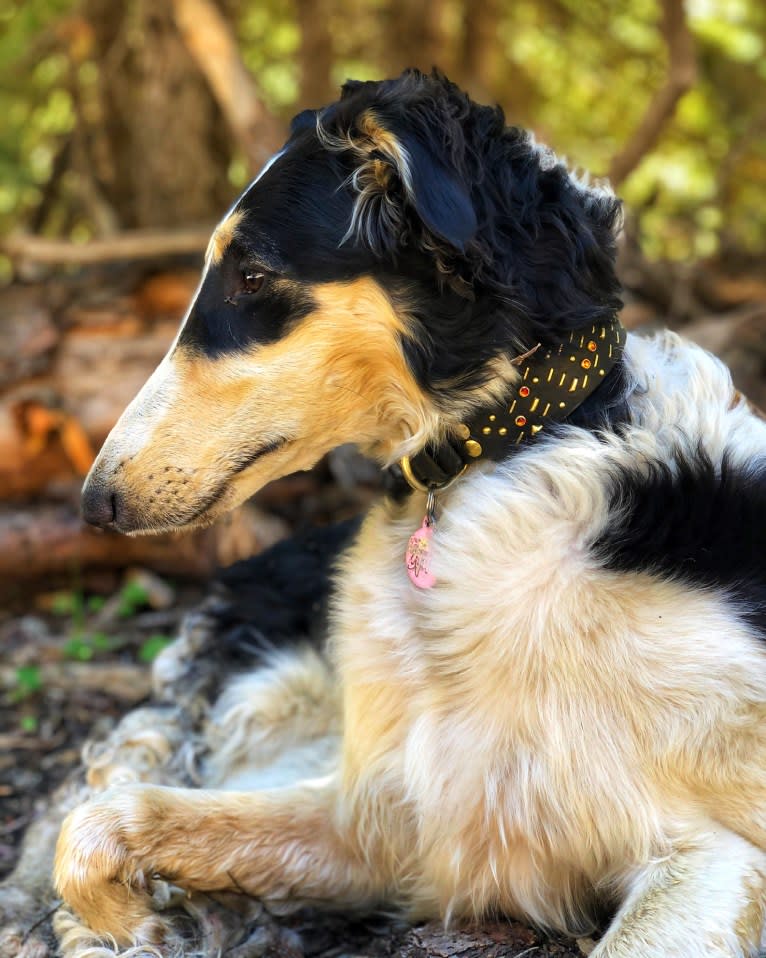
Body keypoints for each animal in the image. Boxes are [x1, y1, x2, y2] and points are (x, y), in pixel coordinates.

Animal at [54, 69, 766, 958]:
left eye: (251, 275)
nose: (93, 504)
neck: (507, 460)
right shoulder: (377, 819)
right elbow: (97, 823)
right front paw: (134, 922)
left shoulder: (715, 856)